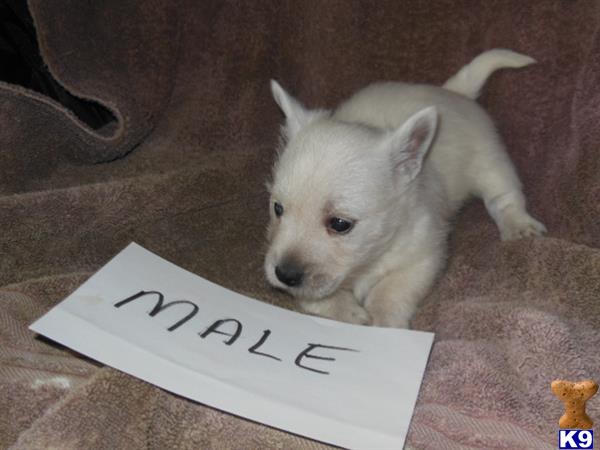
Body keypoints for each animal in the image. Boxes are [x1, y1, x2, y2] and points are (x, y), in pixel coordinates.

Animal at [264, 49, 548, 328]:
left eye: (340, 224)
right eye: (277, 208)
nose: (284, 274)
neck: (369, 259)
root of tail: (453, 92)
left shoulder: (422, 258)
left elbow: (390, 291)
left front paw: (383, 321)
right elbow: (318, 298)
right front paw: (348, 312)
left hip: (490, 162)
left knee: (504, 196)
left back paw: (519, 225)